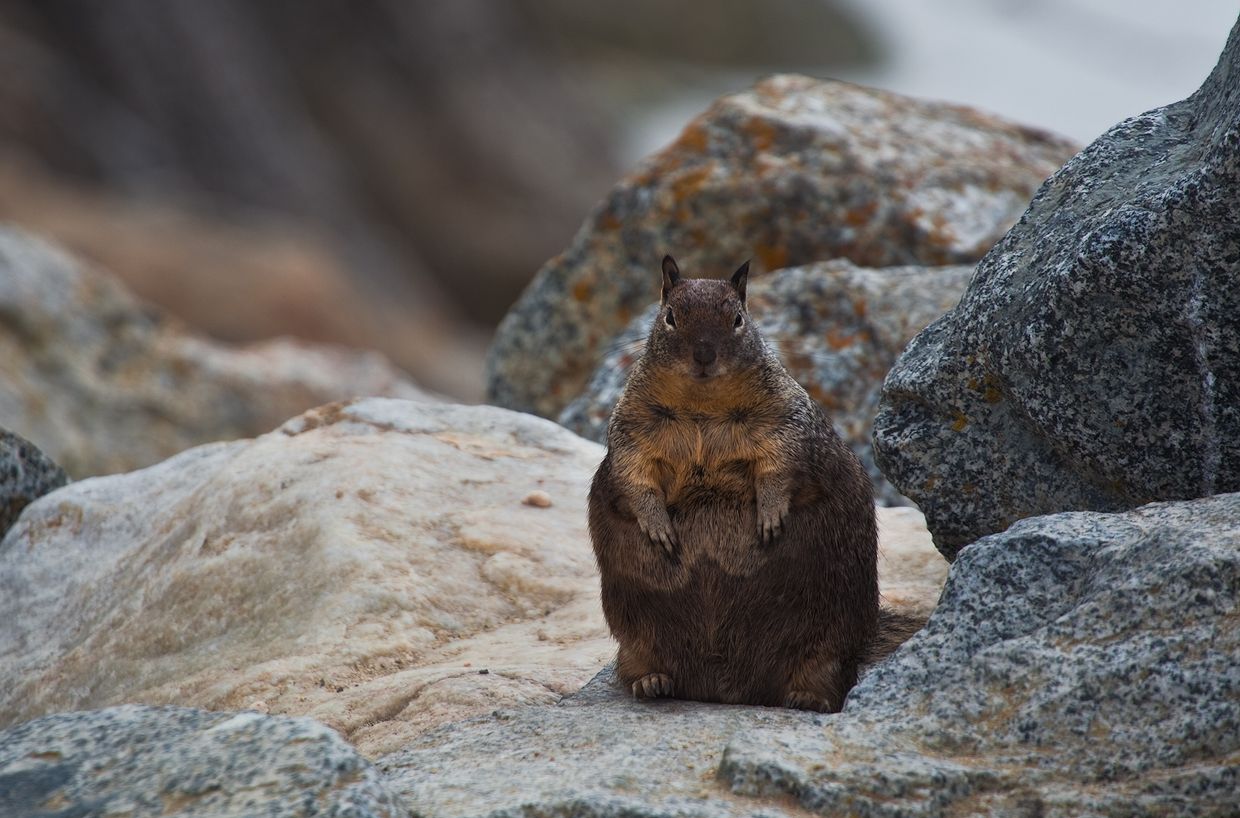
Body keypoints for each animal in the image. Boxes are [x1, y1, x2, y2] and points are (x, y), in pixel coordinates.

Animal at [585, 254, 917, 708]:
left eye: (738, 319)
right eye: (670, 317)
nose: (704, 355)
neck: (702, 406)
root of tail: (729, 690)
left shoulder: (786, 422)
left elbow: (779, 467)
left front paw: (771, 515)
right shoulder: (630, 431)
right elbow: (635, 478)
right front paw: (657, 527)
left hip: (828, 643)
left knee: (827, 678)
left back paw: (806, 698)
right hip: (635, 640)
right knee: (637, 666)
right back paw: (652, 682)